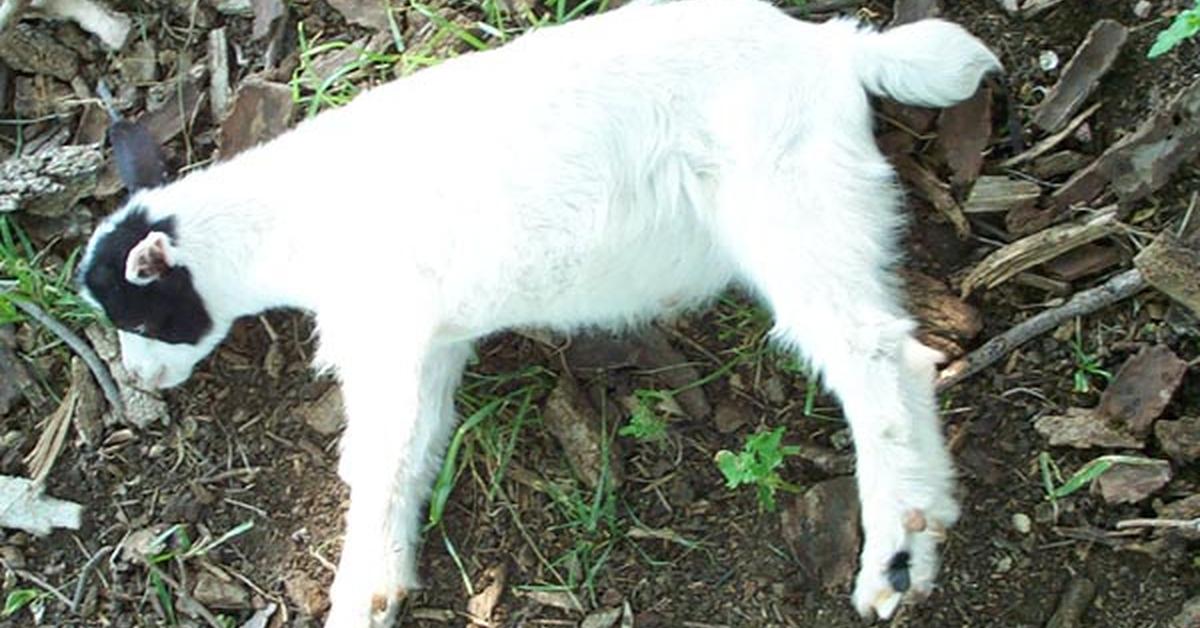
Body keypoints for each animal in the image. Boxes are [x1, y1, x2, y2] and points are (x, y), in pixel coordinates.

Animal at [75, 2, 1003, 624]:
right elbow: (414, 455)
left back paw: (893, 561)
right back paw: (926, 530)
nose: (141, 380)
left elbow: (377, 464)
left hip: (791, 202)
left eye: (143, 316)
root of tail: (832, 52)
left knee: (873, 354)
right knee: (900, 353)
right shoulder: (430, 343)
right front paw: (387, 582)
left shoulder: (383, 332)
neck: (292, 221)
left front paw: (358, 592)